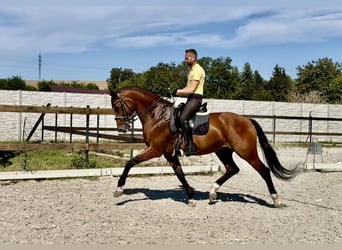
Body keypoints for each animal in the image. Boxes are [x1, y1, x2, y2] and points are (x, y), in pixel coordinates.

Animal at [109, 86, 296, 207]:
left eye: (117, 106)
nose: (122, 128)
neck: (157, 116)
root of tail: (247, 119)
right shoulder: (169, 153)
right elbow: (180, 173)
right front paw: (191, 196)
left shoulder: (155, 150)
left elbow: (130, 162)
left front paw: (119, 189)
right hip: (223, 151)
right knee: (232, 169)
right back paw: (212, 193)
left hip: (246, 152)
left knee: (264, 170)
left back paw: (276, 199)